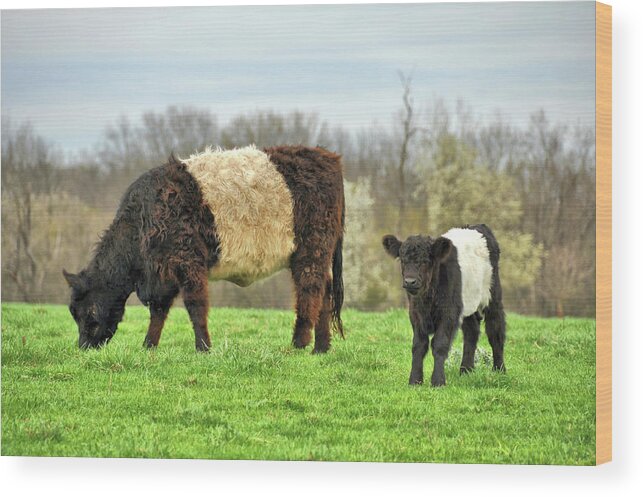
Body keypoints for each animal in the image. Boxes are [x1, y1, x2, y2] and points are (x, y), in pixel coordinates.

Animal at [65, 146, 344, 352]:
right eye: (73, 314)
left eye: (88, 312)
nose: (83, 347)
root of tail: (327, 156)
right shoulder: (161, 275)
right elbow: (159, 311)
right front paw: (148, 346)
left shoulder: (188, 261)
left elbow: (195, 304)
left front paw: (203, 348)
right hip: (318, 255)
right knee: (325, 293)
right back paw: (321, 348)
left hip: (311, 250)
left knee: (310, 291)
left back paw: (299, 344)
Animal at [382, 224, 508, 388]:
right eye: (402, 260)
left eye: (425, 260)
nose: (410, 281)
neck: (427, 298)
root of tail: (477, 226)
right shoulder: (415, 313)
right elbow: (418, 345)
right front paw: (415, 380)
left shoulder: (449, 313)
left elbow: (439, 344)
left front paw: (438, 381)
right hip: (466, 303)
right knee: (471, 332)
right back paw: (466, 370)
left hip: (493, 295)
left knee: (495, 330)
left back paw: (499, 370)